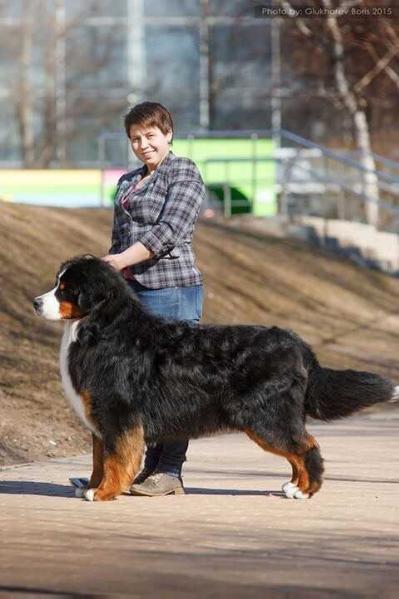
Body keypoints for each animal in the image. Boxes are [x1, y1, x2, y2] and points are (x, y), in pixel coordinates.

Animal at [32, 256, 398, 502]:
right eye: (57, 284)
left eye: (66, 290)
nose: (36, 302)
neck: (102, 327)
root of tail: (298, 344)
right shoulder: (101, 417)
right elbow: (100, 458)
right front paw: (93, 485)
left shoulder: (117, 413)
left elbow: (116, 458)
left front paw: (104, 492)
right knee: (299, 448)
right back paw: (295, 485)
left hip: (267, 417)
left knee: (306, 446)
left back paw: (305, 490)